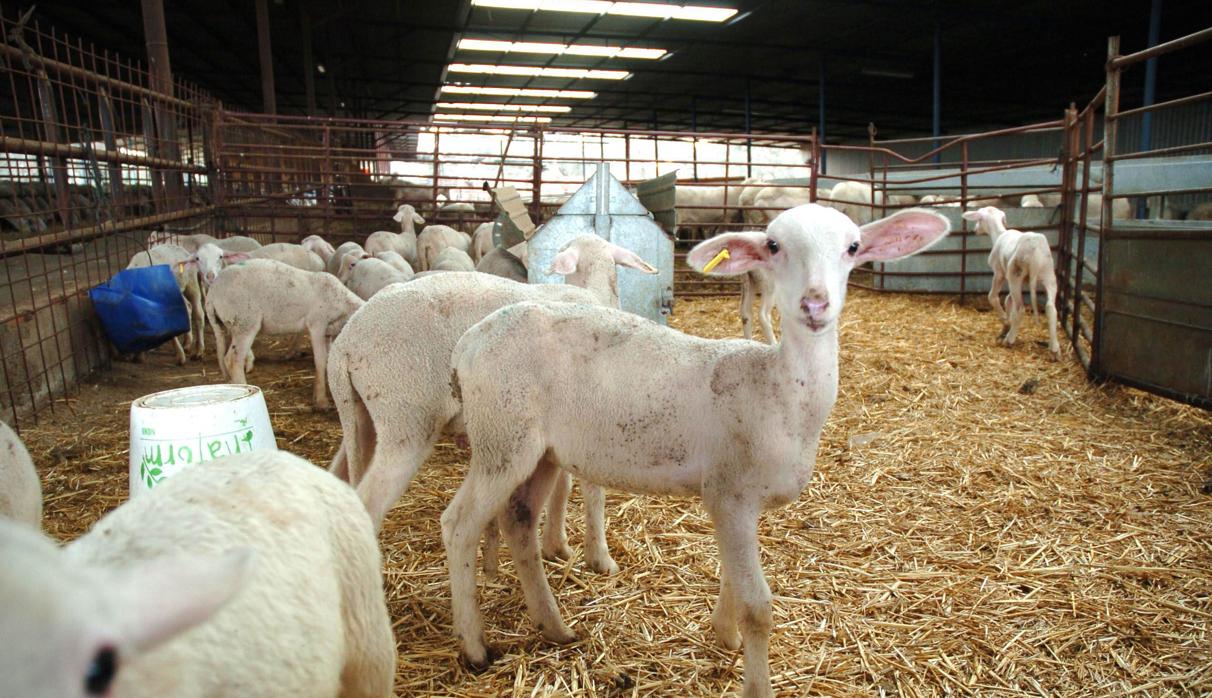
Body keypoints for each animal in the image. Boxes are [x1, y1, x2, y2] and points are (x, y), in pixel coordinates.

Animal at [206, 259, 363, 407]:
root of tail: (212, 293)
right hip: (245, 321)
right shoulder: (317, 324)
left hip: (229, 325)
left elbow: (329, 360)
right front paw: (321, 401)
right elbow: (320, 361)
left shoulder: (328, 333)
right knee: (233, 360)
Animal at [327, 237, 659, 581]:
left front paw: (556, 544)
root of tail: (346, 344)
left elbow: (562, 487)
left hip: (361, 417)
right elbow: (593, 492)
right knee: (370, 502)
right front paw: (600, 557)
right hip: (405, 419)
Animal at [441, 204, 950, 693]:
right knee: (460, 523)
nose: (815, 303)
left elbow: (731, 578)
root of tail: (468, 341)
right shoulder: (729, 493)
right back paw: (474, 645)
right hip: (502, 439)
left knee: (519, 521)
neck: (777, 390)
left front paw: (724, 635)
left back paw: (554, 627)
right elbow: (757, 607)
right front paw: (755, 681)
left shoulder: (739, 502)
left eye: (853, 247)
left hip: (540, 452)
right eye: (773, 246)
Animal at [964, 206, 1061, 358]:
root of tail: (1034, 251)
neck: (998, 234)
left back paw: (1009, 340)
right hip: (1048, 274)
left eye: (979, 219)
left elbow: (992, 296)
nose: (974, 230)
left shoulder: (999, 273)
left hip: (1015, 273)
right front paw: (1006, 326)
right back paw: (1055, 348)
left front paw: (1006, 322)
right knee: (1051, 308)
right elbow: (1008, 300)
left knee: (1021, 308)